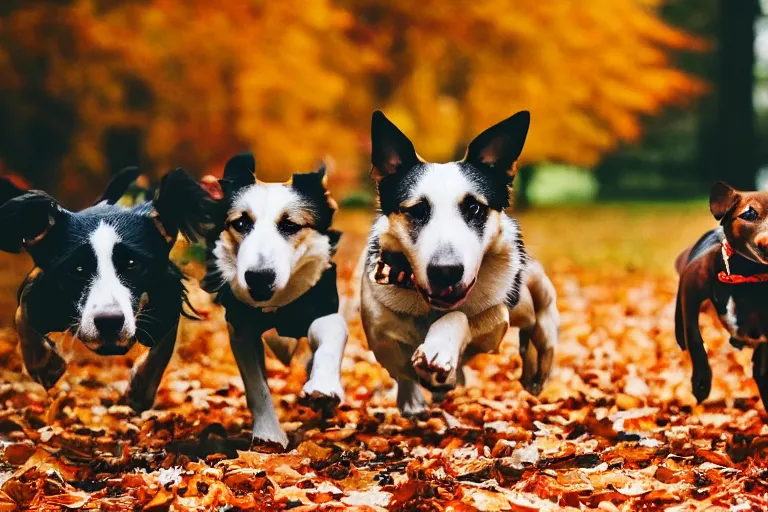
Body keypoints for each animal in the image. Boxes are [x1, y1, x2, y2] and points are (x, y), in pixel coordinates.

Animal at [0, 168, 212, 412]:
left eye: (132, 263)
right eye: (77, 268)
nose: (109, 321)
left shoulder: (167, 297)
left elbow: (162, 348)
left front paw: (140, 392)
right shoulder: (41, 288)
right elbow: (23, 313)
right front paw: (45, 366)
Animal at [202, 153, 350, 448]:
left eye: (290, 225)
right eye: (241, 223)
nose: (258, 278)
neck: (276, 306)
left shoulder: (322, 305)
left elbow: (330, 338)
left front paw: (324, 386)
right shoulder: (241, 327)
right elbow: (257, 386)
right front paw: (268, 435)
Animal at [360, 110, 560, 414]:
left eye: (474, 208)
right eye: (417, 210)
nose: (446, 271)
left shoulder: (495, 321)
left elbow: (461, 316)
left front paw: (439, 346)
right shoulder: (378, 328)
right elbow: (397, 360)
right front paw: (413, 396)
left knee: (540, 333)